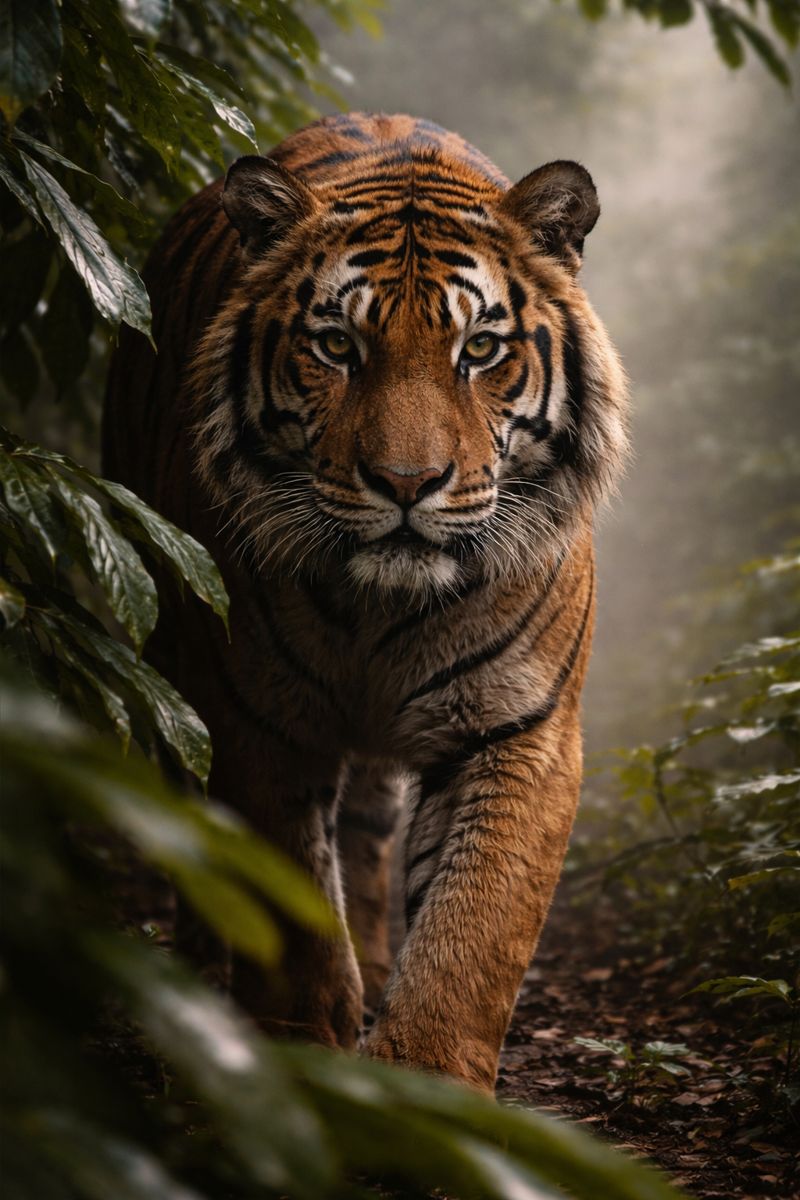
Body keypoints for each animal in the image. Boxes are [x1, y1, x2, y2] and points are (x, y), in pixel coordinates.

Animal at [104, 111, 628, 1094]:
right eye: (337, 347)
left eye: (480, 350)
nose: (408, 483)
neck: (382, 610)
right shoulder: (254, 716)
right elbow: (288, 901)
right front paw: (303, 1052)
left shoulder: (519, 725)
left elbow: (474, 927)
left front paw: (426, 1083)